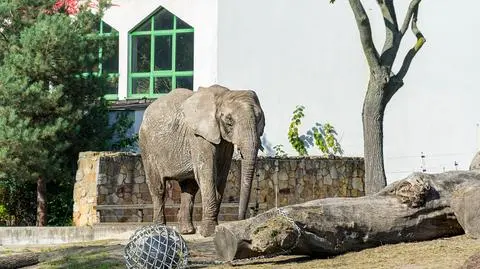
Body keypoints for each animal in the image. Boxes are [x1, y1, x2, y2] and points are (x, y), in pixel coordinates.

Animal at [139, 83, 266, 234]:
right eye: (229, 121)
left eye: (259, 119)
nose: (241, 220)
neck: (223, 94)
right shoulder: (198, 135)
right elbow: (207, 173)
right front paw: (208, 232)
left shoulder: (223, 141)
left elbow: (221, 175)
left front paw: (214, 228)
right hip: (147, 146)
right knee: (158, 187)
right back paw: (160, 229)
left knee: (189, 188)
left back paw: (187, 231)